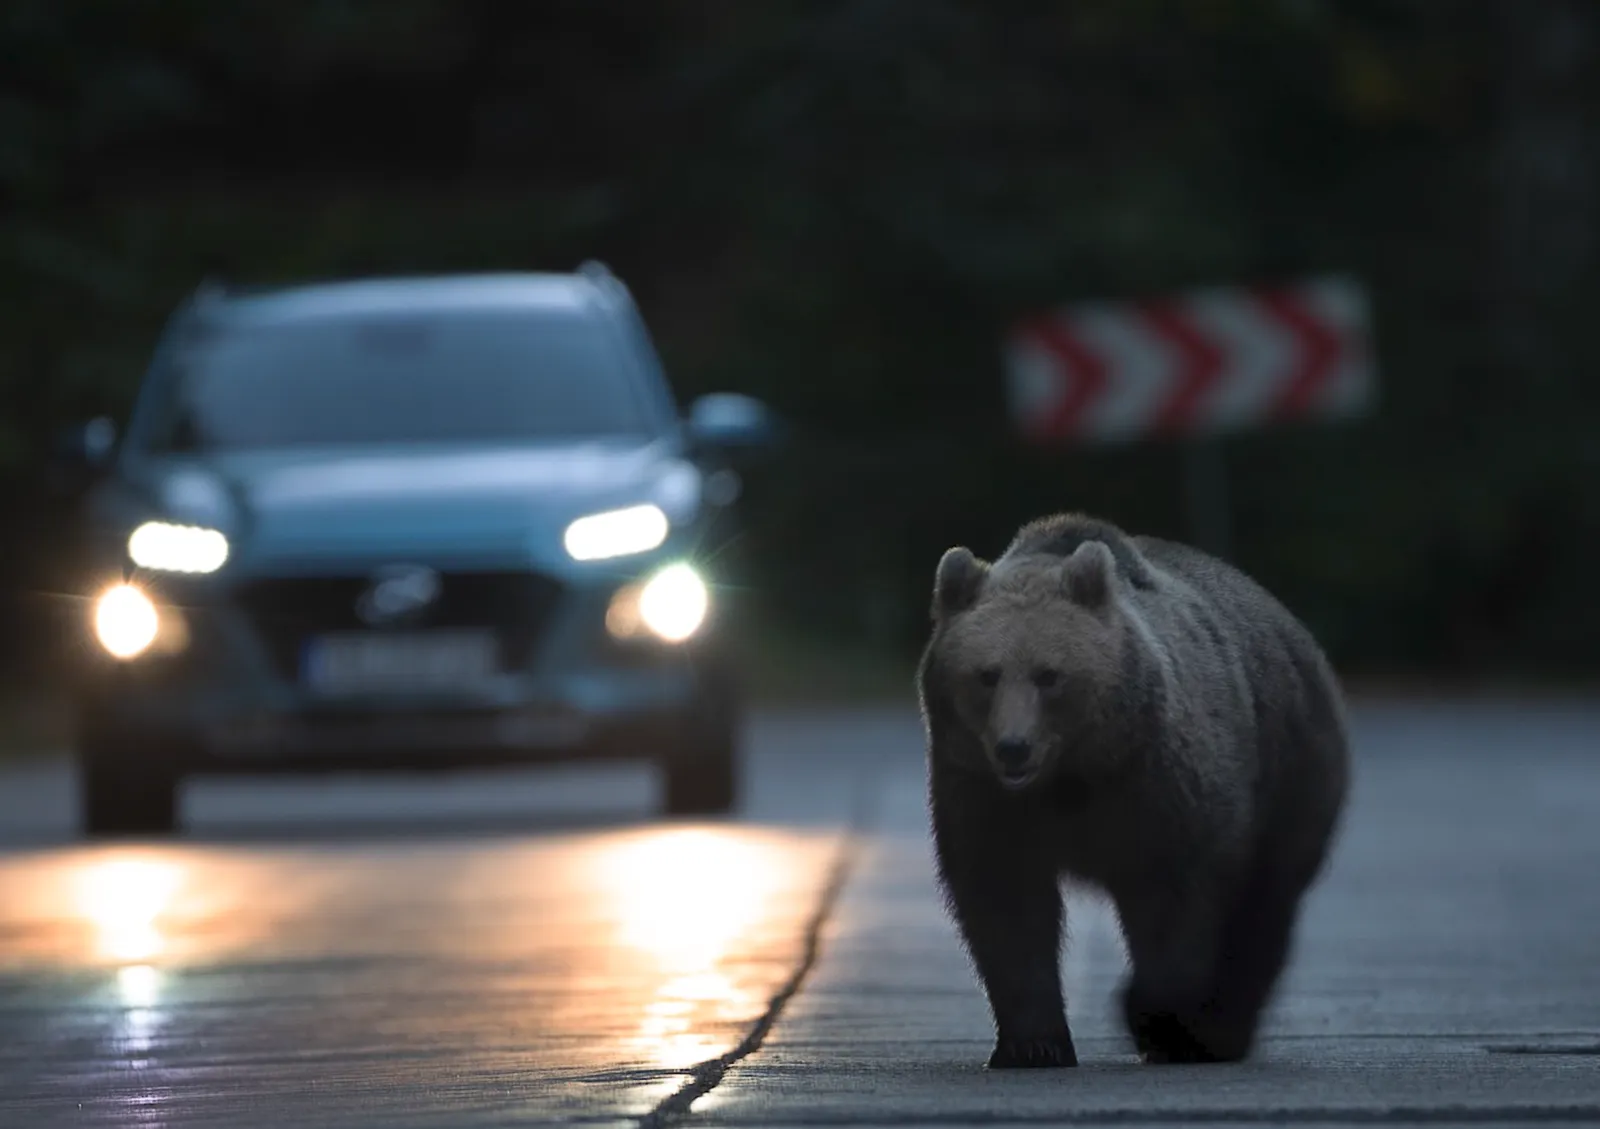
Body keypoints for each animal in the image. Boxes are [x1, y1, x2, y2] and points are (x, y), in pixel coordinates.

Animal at [916, 511, 1350, 1069]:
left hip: (1287, 763)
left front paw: (1155, 1016)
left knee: (1264, 905)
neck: (1073, 772)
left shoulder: (1158, 786)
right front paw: (1032, 1043)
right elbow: (1006, 903)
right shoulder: (982, 794)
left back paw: (1219, 1033)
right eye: (986, 675)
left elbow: (1176, 898)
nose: (1014, 747)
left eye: (1049, 675)